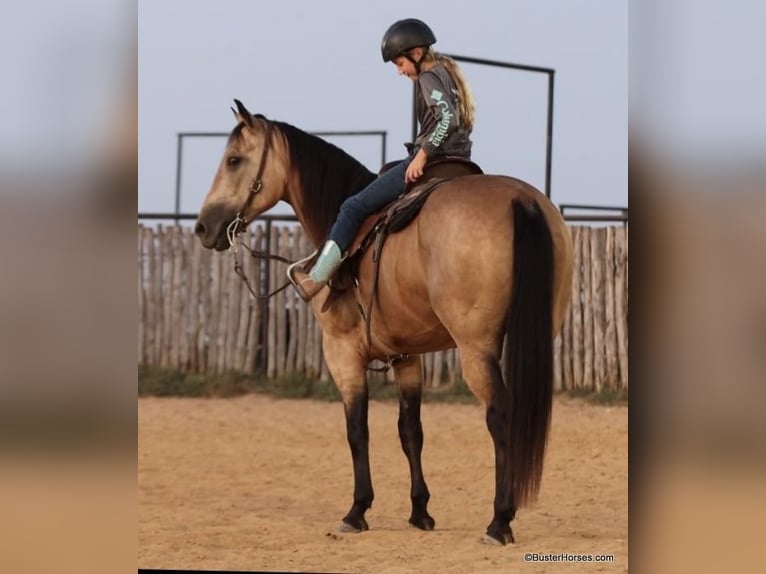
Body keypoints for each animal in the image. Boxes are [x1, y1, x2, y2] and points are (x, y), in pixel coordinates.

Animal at [195, 100, 572, 548]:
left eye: (234, 160)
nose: (203, 227)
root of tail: (521, 202)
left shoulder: (342, 354)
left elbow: (357, 429)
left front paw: (357, 510)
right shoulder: (407, 357)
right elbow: (411, 430)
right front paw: (420, 511)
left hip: (476, 350)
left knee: (500, 417)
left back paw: (499, 521)